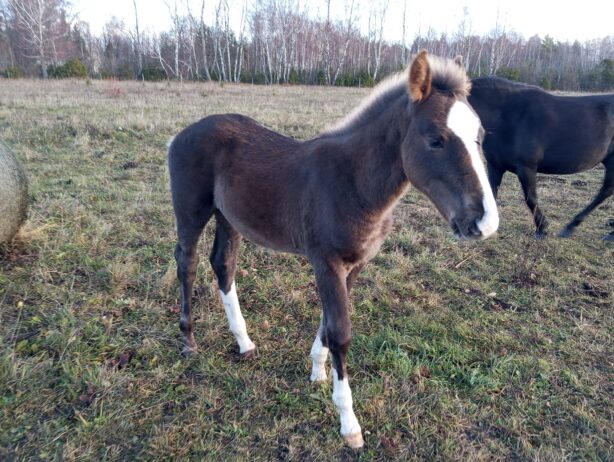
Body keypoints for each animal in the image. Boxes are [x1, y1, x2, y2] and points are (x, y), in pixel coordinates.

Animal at [168, 52, 500, 450]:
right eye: (436, 140)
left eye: (481, 137)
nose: (484, 222)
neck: (353, 182)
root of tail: (182, 133)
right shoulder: (325, 262)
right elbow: (340, 332)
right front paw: (349, 424)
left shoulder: (354, 265)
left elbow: (328, 324)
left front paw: (316, 370)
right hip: (191, 211)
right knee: (187, 262)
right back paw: (188, 341)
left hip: (229, 217)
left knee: (224, 265)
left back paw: (244, 342)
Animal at [472, 76, 614, 240]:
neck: (507, 116)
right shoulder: (495, 166)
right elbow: (490, 194)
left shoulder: (526, 167)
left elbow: (531, 199)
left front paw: (542, 228)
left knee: (605, 191)